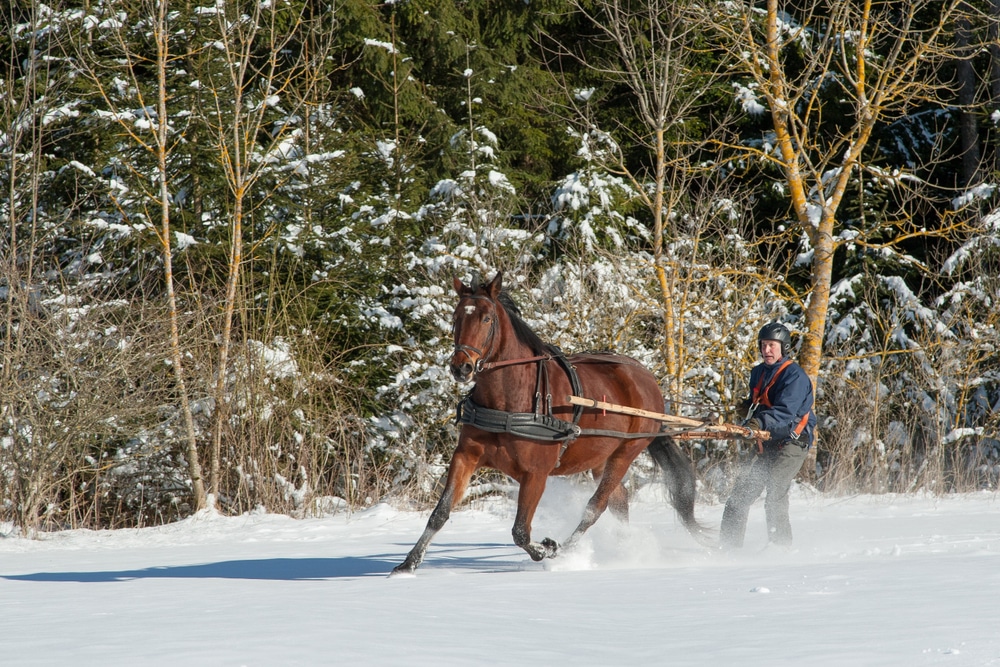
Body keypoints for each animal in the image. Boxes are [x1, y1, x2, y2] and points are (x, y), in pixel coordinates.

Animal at [386, 272, 708, 576]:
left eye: (486, 318)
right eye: (455, 317)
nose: (461, 367)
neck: (511, 399)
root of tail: (647, 379)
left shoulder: (536, 473)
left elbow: (520, 531)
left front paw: (547, 549)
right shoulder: (466, 456)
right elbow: (440, 513)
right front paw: (408, 564)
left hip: (626, 452)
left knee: (595, 507)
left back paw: (567, 549)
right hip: (600, 458)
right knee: (618, 501)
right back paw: (624, 549)